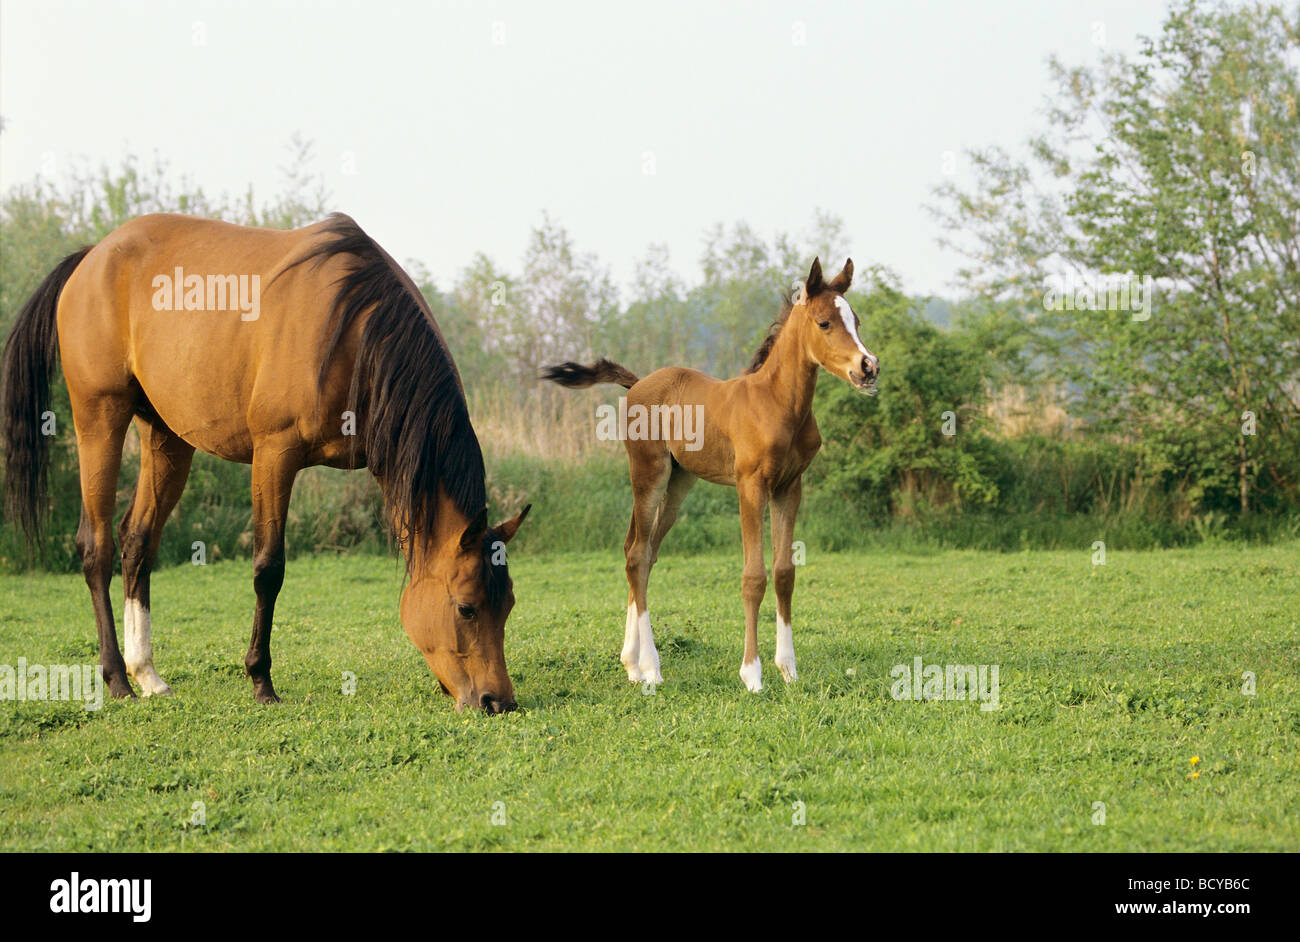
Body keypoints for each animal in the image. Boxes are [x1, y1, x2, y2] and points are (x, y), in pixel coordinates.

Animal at [2, 213, 527, 712]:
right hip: (100, 418)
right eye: (466, 608)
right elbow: (268, 569)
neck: (352, 328)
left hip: (166, 437)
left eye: (509, 605)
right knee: (97, 547)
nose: (497, 701)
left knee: (137, 543)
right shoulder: (275, 455)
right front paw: (261, 681)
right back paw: (116, 679)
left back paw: (147, 674)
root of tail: (94, 256)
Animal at [543, 257, 878, 691]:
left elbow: (784, 573)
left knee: (643, 553)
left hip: (679, 484)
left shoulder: (790, 487)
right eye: (824, 323)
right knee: (636, 556)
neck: (778, 403)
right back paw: (651, 667)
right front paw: (752, 674)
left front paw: (788, 669)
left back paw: (632, 664)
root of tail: (637, 384)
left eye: (856, 320)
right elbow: (753, 578)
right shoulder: (750, 485)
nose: (868, 367)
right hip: (648, 474)